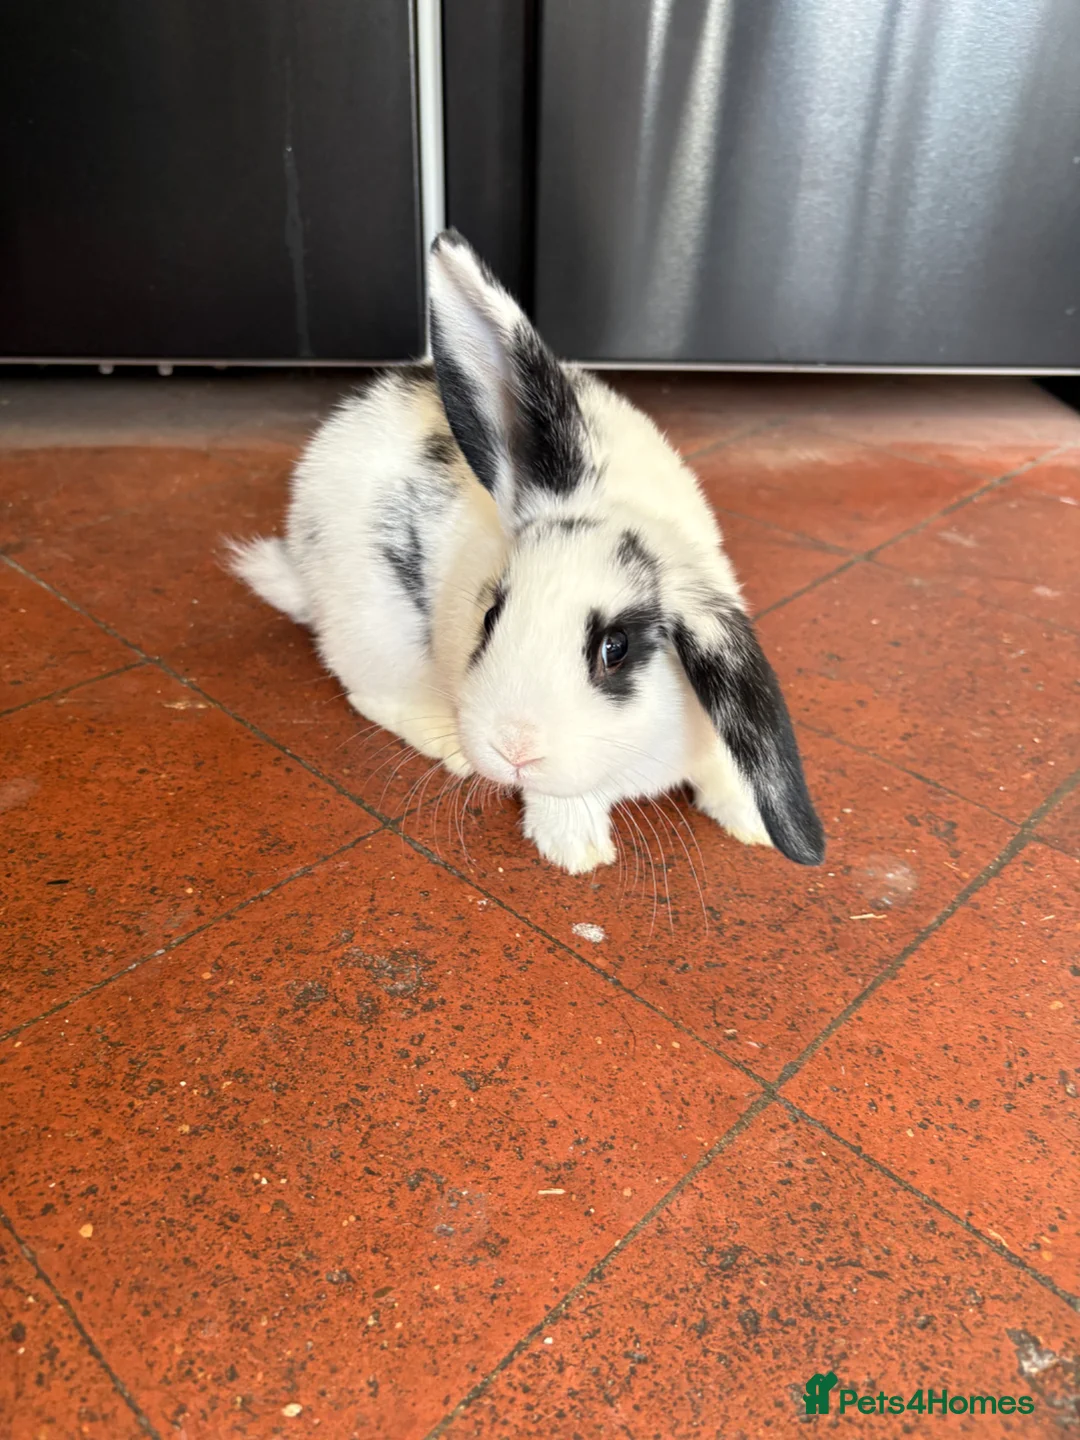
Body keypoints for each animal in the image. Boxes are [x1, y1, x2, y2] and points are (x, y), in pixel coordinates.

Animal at [227, 229, 825, 875]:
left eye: (615, 649)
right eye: (490, 618)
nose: (513, 746)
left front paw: (750, 823)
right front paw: (576, 848)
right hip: (376, 633)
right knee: (368, 694)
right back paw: (444, 740)